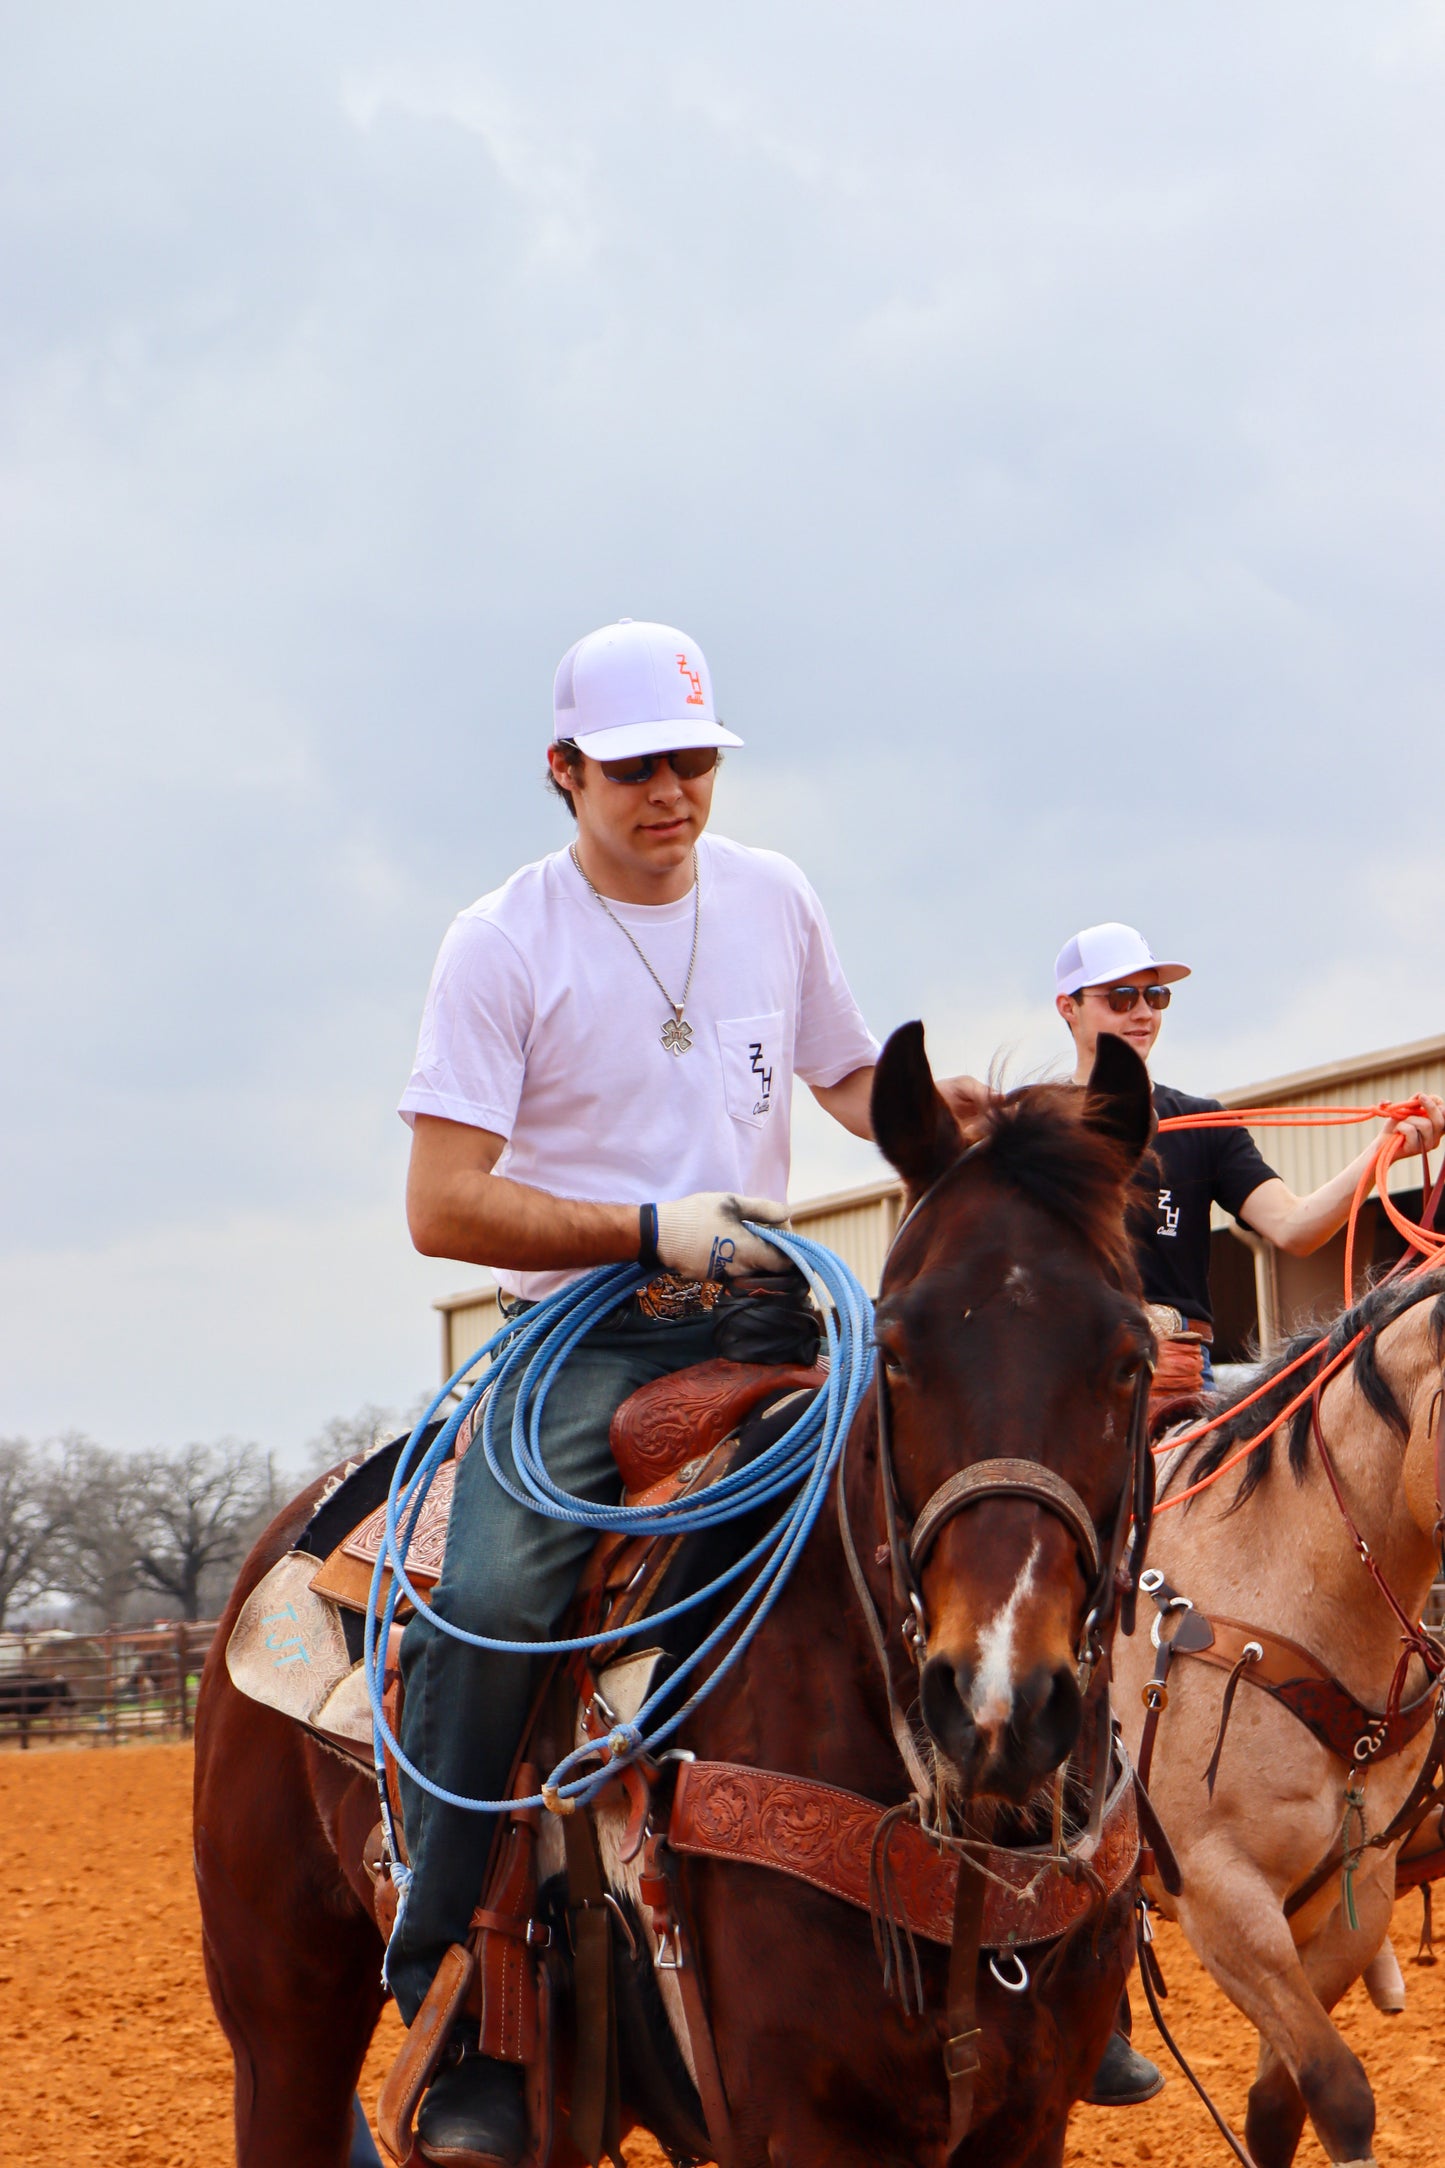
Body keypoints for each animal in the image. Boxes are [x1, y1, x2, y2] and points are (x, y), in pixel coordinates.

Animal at [194, 1027, 1161, 2168]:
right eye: (896, 1351)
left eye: (1131, 1356)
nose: (994, 1700)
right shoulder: (800, 2123)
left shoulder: (1026, 2121)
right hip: (281, 2025)